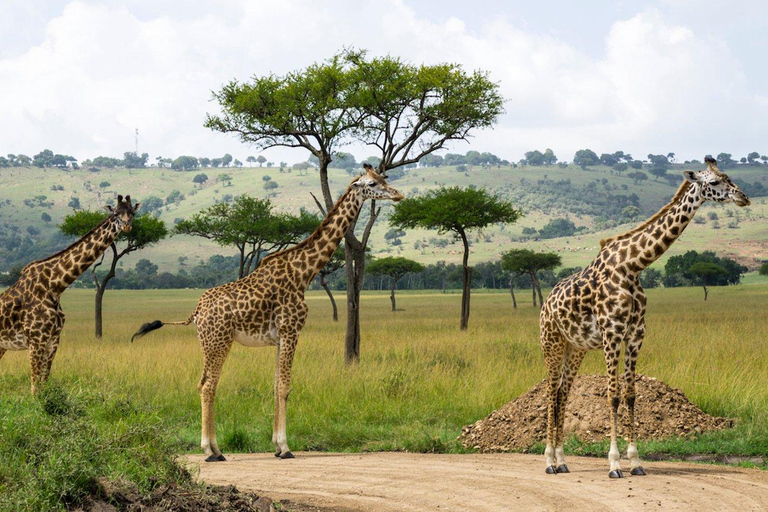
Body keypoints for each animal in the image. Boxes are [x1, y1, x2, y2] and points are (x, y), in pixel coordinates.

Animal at [0, 195, 141, 392]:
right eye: (115, 213)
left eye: (132, 213)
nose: (127, 226)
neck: (56, 285)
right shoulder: (36, 340)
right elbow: (35, 388)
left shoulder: (53, 340)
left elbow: (44, 383)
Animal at [131, 166, 402, 462]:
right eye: (373, 183)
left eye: (385, 179)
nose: (398, 194)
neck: (304, 273)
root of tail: (197, 310)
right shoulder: (291, 330)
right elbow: (285, 386)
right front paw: (285, 447)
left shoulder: (280, 337)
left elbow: (275, 385)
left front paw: (275, 445)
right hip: (218, 341)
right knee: (208, 385)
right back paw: (211, 450)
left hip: (208, 343)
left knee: (203, 382)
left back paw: (217, 449)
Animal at [540, 158, 752, 478]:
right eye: (715, 182)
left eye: (729, 177)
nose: (744, 198)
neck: (633, 266)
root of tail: (545, 305)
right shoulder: (612, 333)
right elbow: (612, 395)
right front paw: (614, 463)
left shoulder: (636, 334)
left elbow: (630, 394)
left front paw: (636, 461)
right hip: (551, 342)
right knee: (551, 392)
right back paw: (549, 461)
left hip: (575, 347)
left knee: (564, 392)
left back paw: (563, 461)